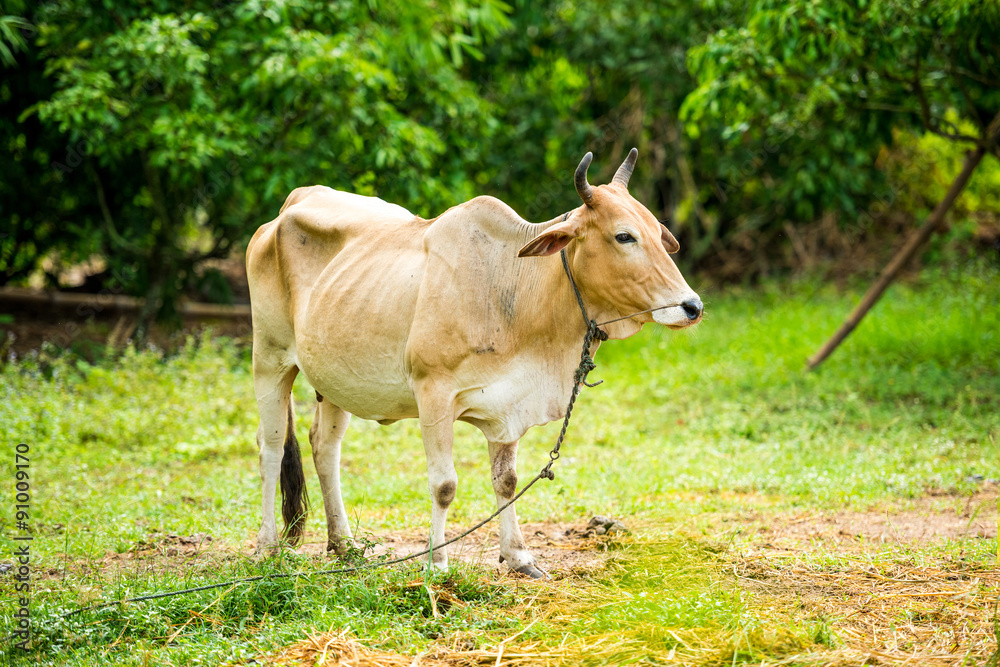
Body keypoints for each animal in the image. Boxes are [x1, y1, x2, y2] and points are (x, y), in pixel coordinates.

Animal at [247, 147, 704, 580]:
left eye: (657, 233)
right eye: (624, 236)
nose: (692, 306)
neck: (513, 286)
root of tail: (289, 205)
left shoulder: (511, 403)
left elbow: (507, 481)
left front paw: (519, 557)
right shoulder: (433, 394)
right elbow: (444, 485)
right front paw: (436, 563)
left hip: (335, 380)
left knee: (324, 447)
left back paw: (344, 545)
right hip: (269, 358)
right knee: (271, 448)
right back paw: (267, 546)